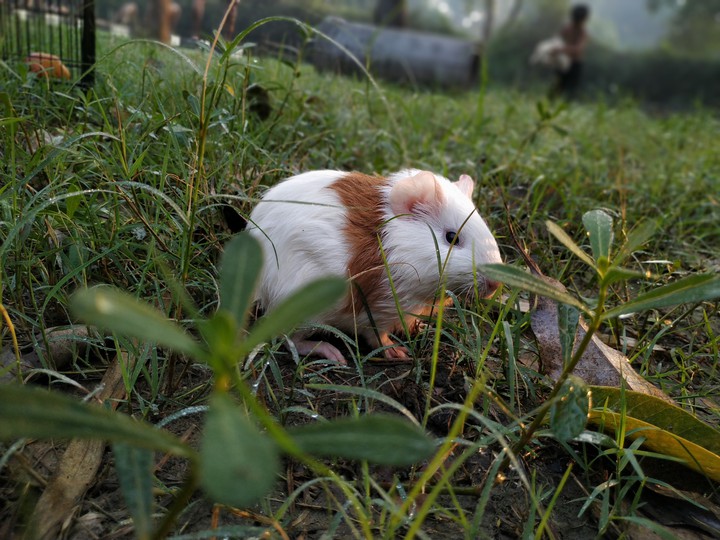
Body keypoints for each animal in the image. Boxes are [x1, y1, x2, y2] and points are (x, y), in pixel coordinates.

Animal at [246, 168, 502, 364]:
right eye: (451, 237)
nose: (495, 284)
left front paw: (419, 327)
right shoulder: (377, 310)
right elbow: (377, 337)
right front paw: (398, 353)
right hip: (303, 312)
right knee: (290, 339)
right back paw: (334, 355)